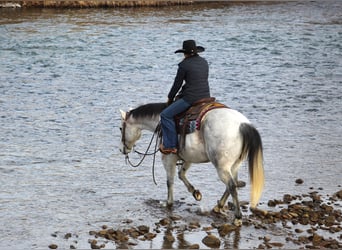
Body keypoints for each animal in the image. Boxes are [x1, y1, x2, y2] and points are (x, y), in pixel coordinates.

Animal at [119, 101, 264, 225]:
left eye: (121, 128)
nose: (122, 149)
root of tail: (243, 125)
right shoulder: (188, 158)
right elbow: (181, 174)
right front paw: (195, 193)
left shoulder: (168, 159)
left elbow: (170, 182)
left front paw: (169, 203)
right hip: (234, 165)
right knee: (233, 184)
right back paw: (218, 207)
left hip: (222, 166)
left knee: (232, 185)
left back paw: (237, 217)